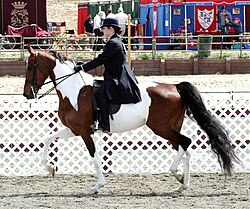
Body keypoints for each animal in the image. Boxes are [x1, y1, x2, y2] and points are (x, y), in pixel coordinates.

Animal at [23, 45, 238, 194]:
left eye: (31, 66)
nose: (27, 94)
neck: (74, 90)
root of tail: (175, 87)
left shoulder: (84, 132)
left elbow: (94, 158)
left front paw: (97, 186)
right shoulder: (75, 129)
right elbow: (47, 139)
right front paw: (50, 168)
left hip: (160, 127)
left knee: (186, 142)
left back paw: (176, 175)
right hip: (170, 128)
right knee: (184, 149)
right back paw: (181, 184)